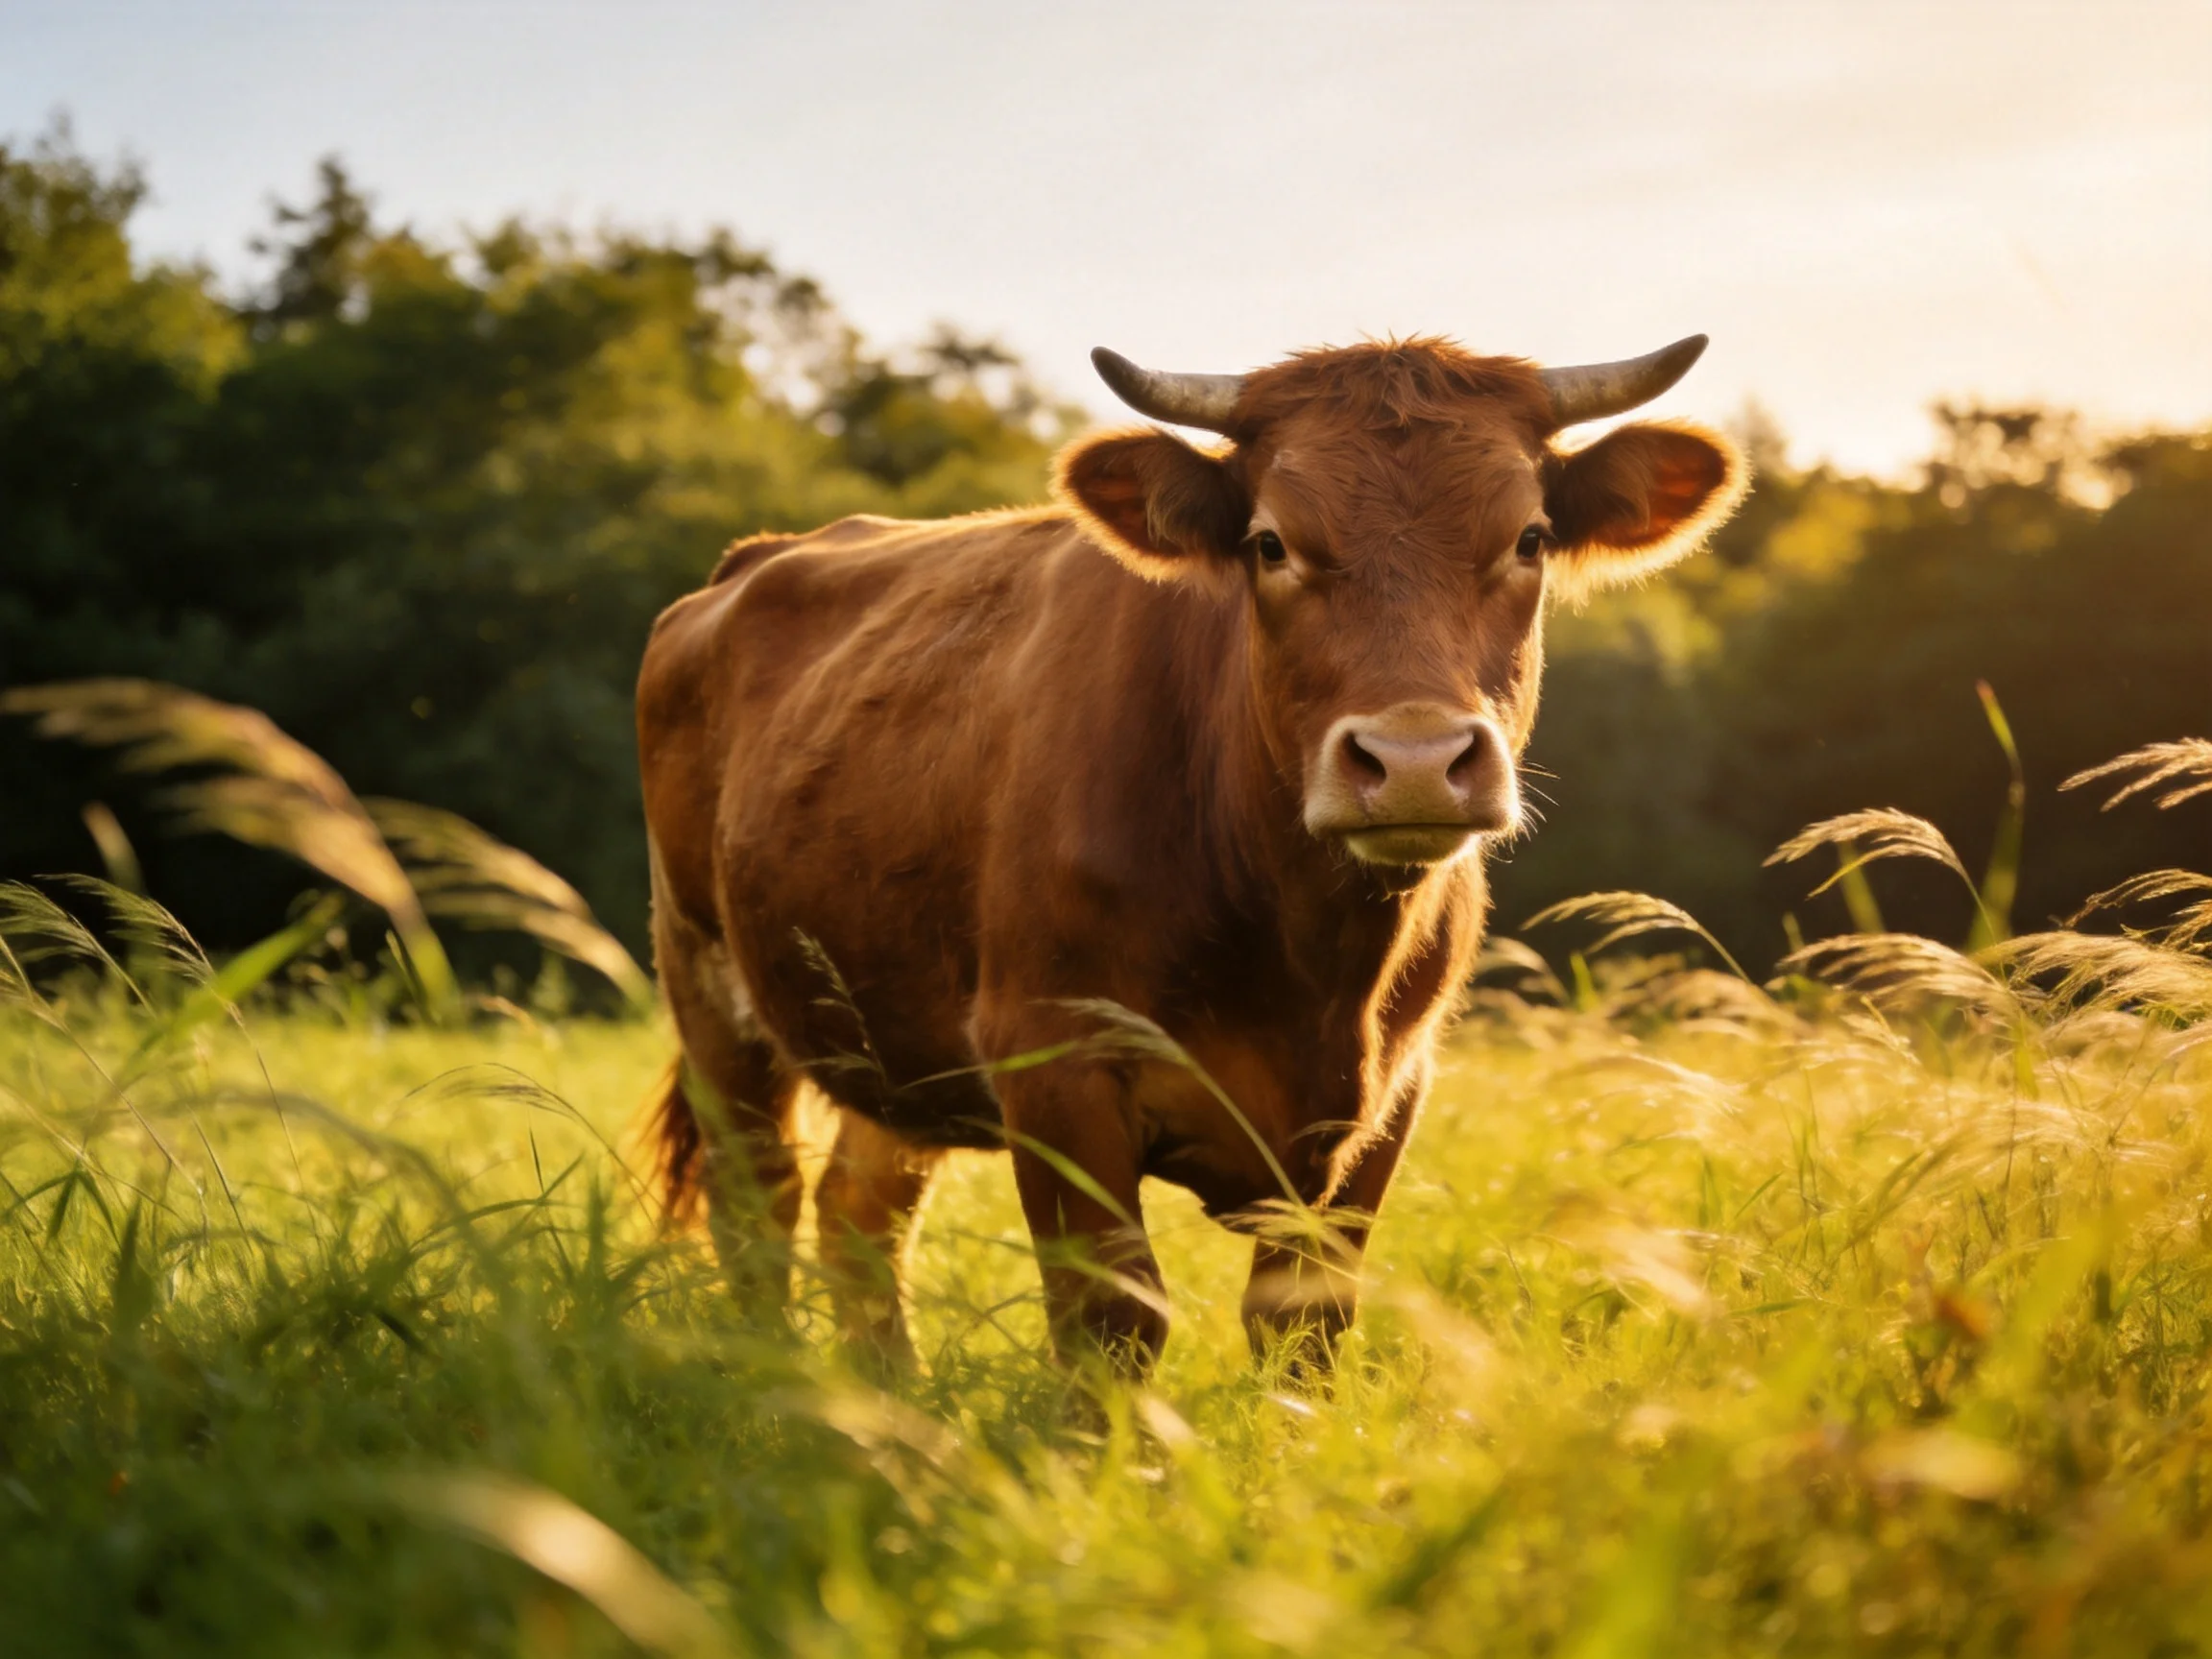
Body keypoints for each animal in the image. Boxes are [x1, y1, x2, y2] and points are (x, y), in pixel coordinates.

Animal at [636, 333, 1744, 1374]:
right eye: (1270, 543)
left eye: (1530, 537)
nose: (1416, 761)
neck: (1309, 960)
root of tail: (757, 560)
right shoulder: (1054, 1061)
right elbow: (1110, 1321)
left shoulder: (1396, 1087)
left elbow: (1304, 1325)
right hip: (709, 983)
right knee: (759, 1206)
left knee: (859, 1212)